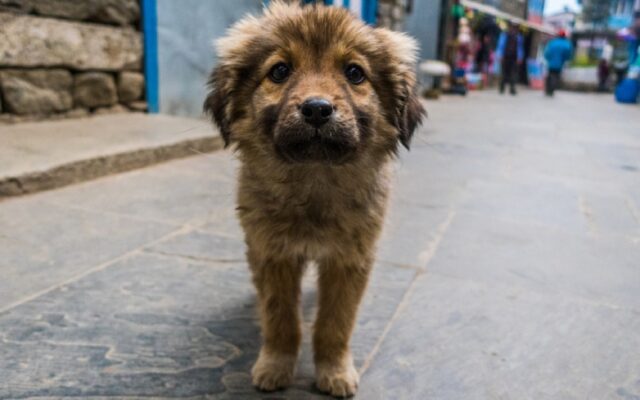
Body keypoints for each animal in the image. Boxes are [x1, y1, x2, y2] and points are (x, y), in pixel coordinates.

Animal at [205, 1, 424, 396]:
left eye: (354, 73)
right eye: (280, 70)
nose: (318, 109)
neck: (314, 181)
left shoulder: (349, 259)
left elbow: (335, 324)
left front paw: (334, 370)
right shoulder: (273, 253)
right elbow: (281, 319)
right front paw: (276, 365)